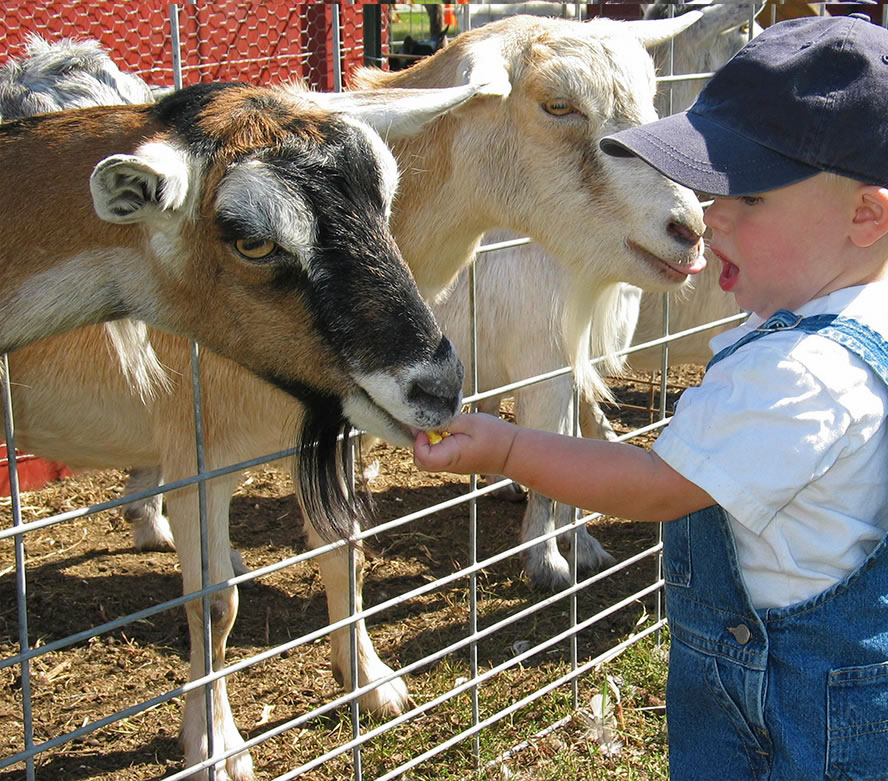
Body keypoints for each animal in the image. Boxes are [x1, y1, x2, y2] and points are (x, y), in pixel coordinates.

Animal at [0, 13, 708, 780]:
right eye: (556, 105)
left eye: (649, 93)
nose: (690, 229)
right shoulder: (199, 453)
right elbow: (214, 605)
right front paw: (216, 746)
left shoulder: (335, 426)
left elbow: (346, 551)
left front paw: (370, 683)